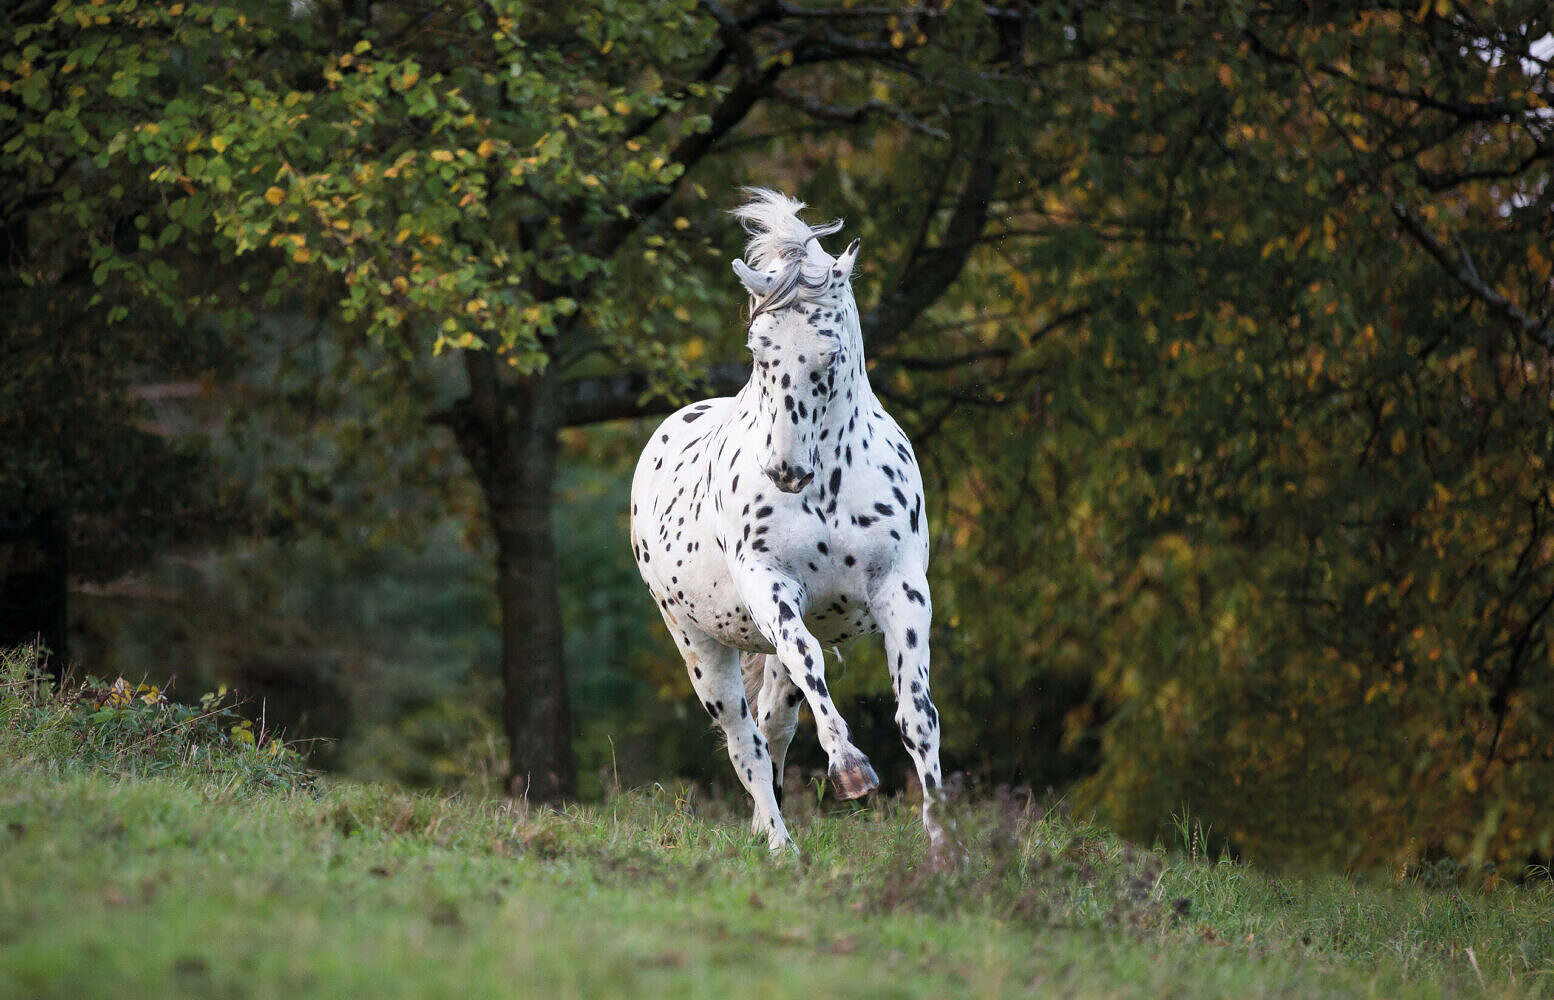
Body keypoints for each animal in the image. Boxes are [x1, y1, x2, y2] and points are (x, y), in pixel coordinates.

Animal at [627, 191, 944, 863]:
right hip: (700, 644)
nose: (785, 469)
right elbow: (809, 672)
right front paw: (852, 772)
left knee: (774, 722)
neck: (829, 486)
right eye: (757, 348)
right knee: (744, 737)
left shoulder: (901, 589)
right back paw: (779, 846)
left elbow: (917, 716)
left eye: (830, 351)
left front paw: (945, 847)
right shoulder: (771, 589)